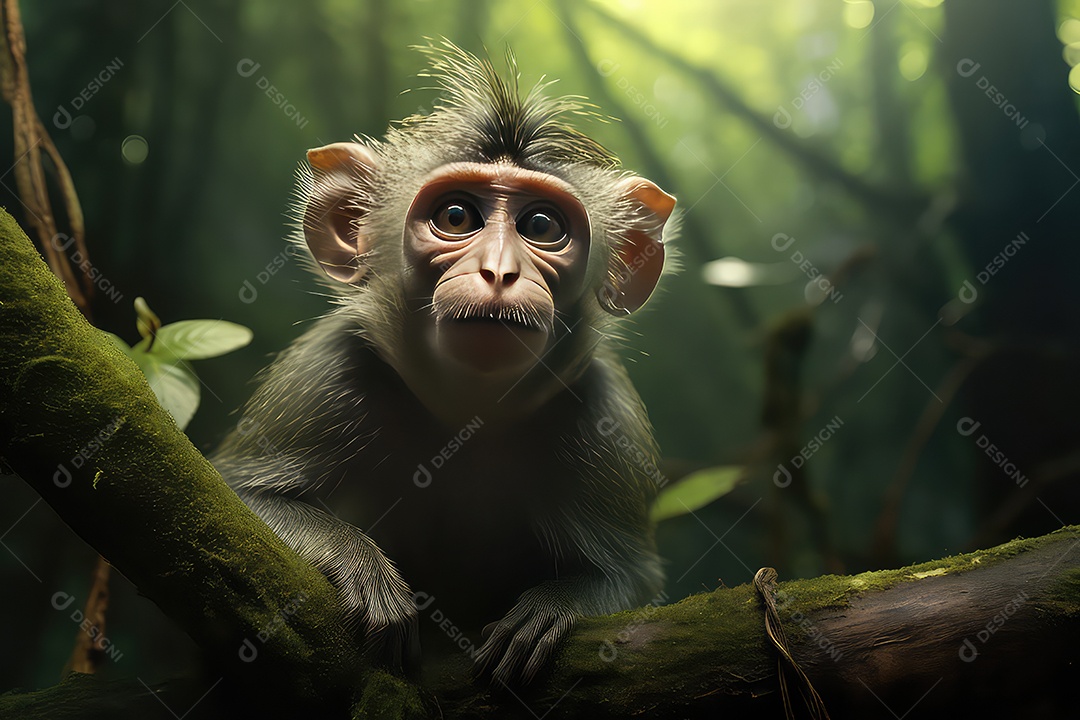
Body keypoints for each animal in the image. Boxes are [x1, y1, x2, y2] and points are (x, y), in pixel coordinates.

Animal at [211, 41, 676, 686]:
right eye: (456, 217)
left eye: (541, 226)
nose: (499, 272)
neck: (467, 413)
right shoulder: (326, 369)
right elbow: (235, 500)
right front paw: (362, 568)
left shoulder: (607, 413)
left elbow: (632, 578)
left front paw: (549, 609)